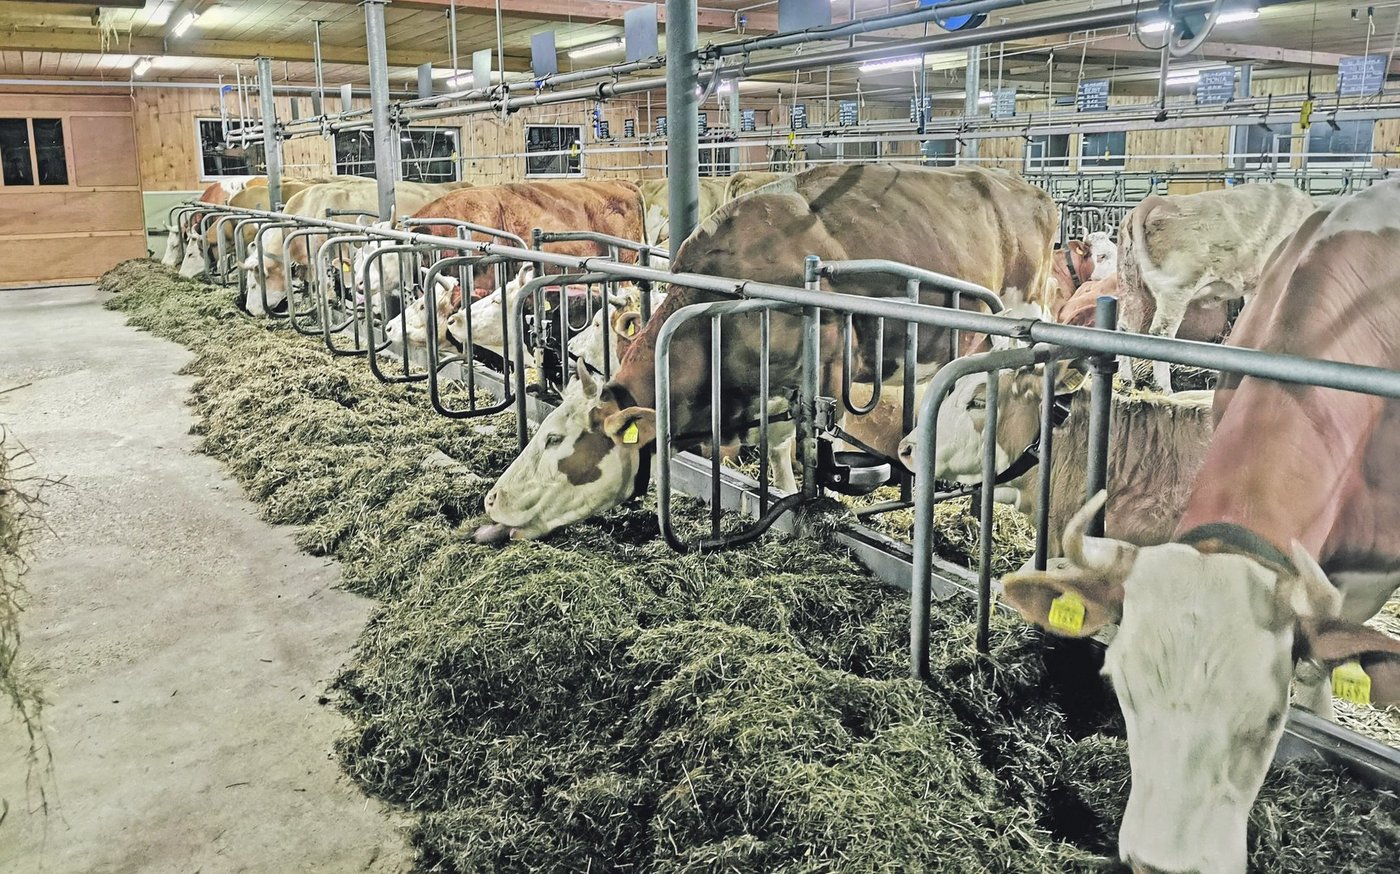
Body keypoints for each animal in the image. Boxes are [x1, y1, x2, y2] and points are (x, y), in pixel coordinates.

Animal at [478, 163, 1057, 541]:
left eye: (555, 438)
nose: (491, 499)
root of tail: (1026, 188)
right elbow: (778, 448)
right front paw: (780, 493)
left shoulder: (818, 371)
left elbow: (801, 442)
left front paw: (806, 501)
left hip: (1018, 316)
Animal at [1118, 182, 1316, 390]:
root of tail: (1156, 202)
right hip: (1174, 290)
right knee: (1160, 332)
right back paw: (1165, 388)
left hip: (1130, 285)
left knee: (1125, 328)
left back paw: (1127, 381)